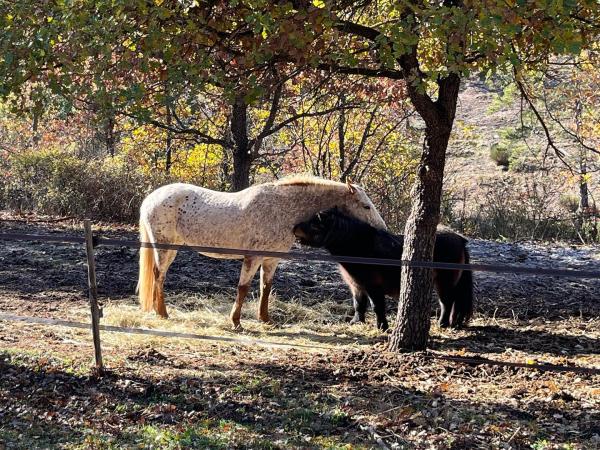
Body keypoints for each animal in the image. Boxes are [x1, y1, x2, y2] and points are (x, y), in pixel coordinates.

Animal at [137, 174, 384, 328]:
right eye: (366, 206)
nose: (382, 228)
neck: (282, 210)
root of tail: (150, 198)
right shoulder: (252, 257)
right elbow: (243, 288)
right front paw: (236, 322)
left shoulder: (271, 260)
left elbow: (266, 287)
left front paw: (265, 319)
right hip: (165, 248)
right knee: (159, 275)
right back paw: (163, 313)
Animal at [294, 207, 474, 330]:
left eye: (314, 224)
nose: (294, 227)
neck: (358, 246)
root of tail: (460, 239)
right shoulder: (356, 286)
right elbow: (358, 304)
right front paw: (357, 321)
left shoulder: (373, 286)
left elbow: (377, 306)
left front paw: (382, 326)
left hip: (444, 282)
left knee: (447, 302)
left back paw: (442, 324)